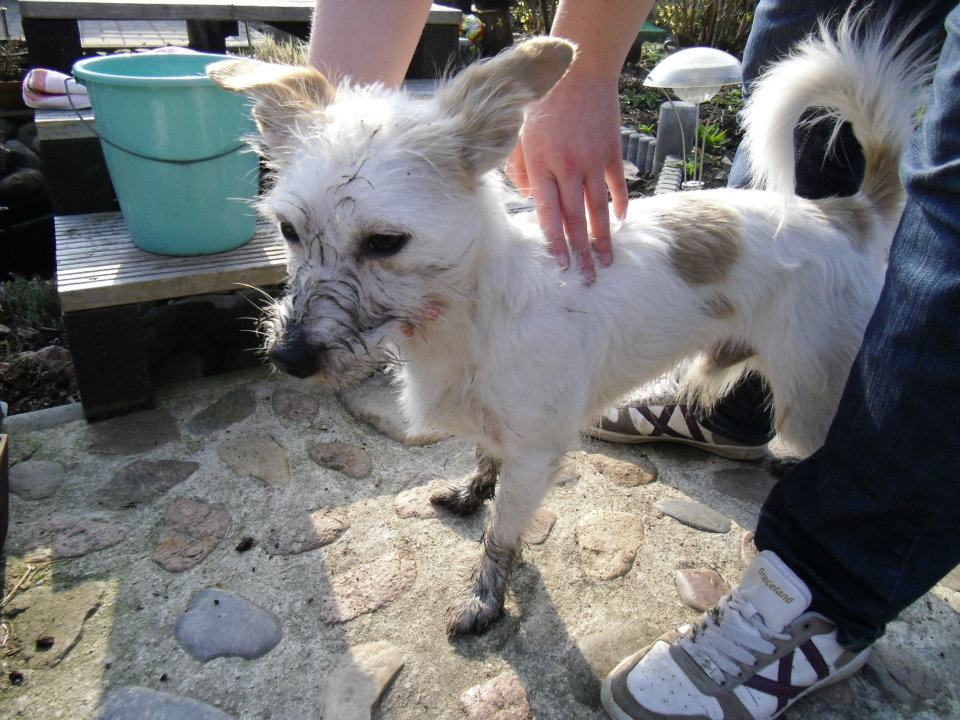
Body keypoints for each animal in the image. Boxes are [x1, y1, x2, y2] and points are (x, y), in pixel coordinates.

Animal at [208, 15, 928, 636]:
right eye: (288, 230)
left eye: (385, 242)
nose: (289, 357)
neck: (472, 315)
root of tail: (849, 213)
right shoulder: (502, 429)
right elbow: (484, 459)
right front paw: (471, 492)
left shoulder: (535, 457)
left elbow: (502, 535)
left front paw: (485, 600)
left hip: (815, 394)